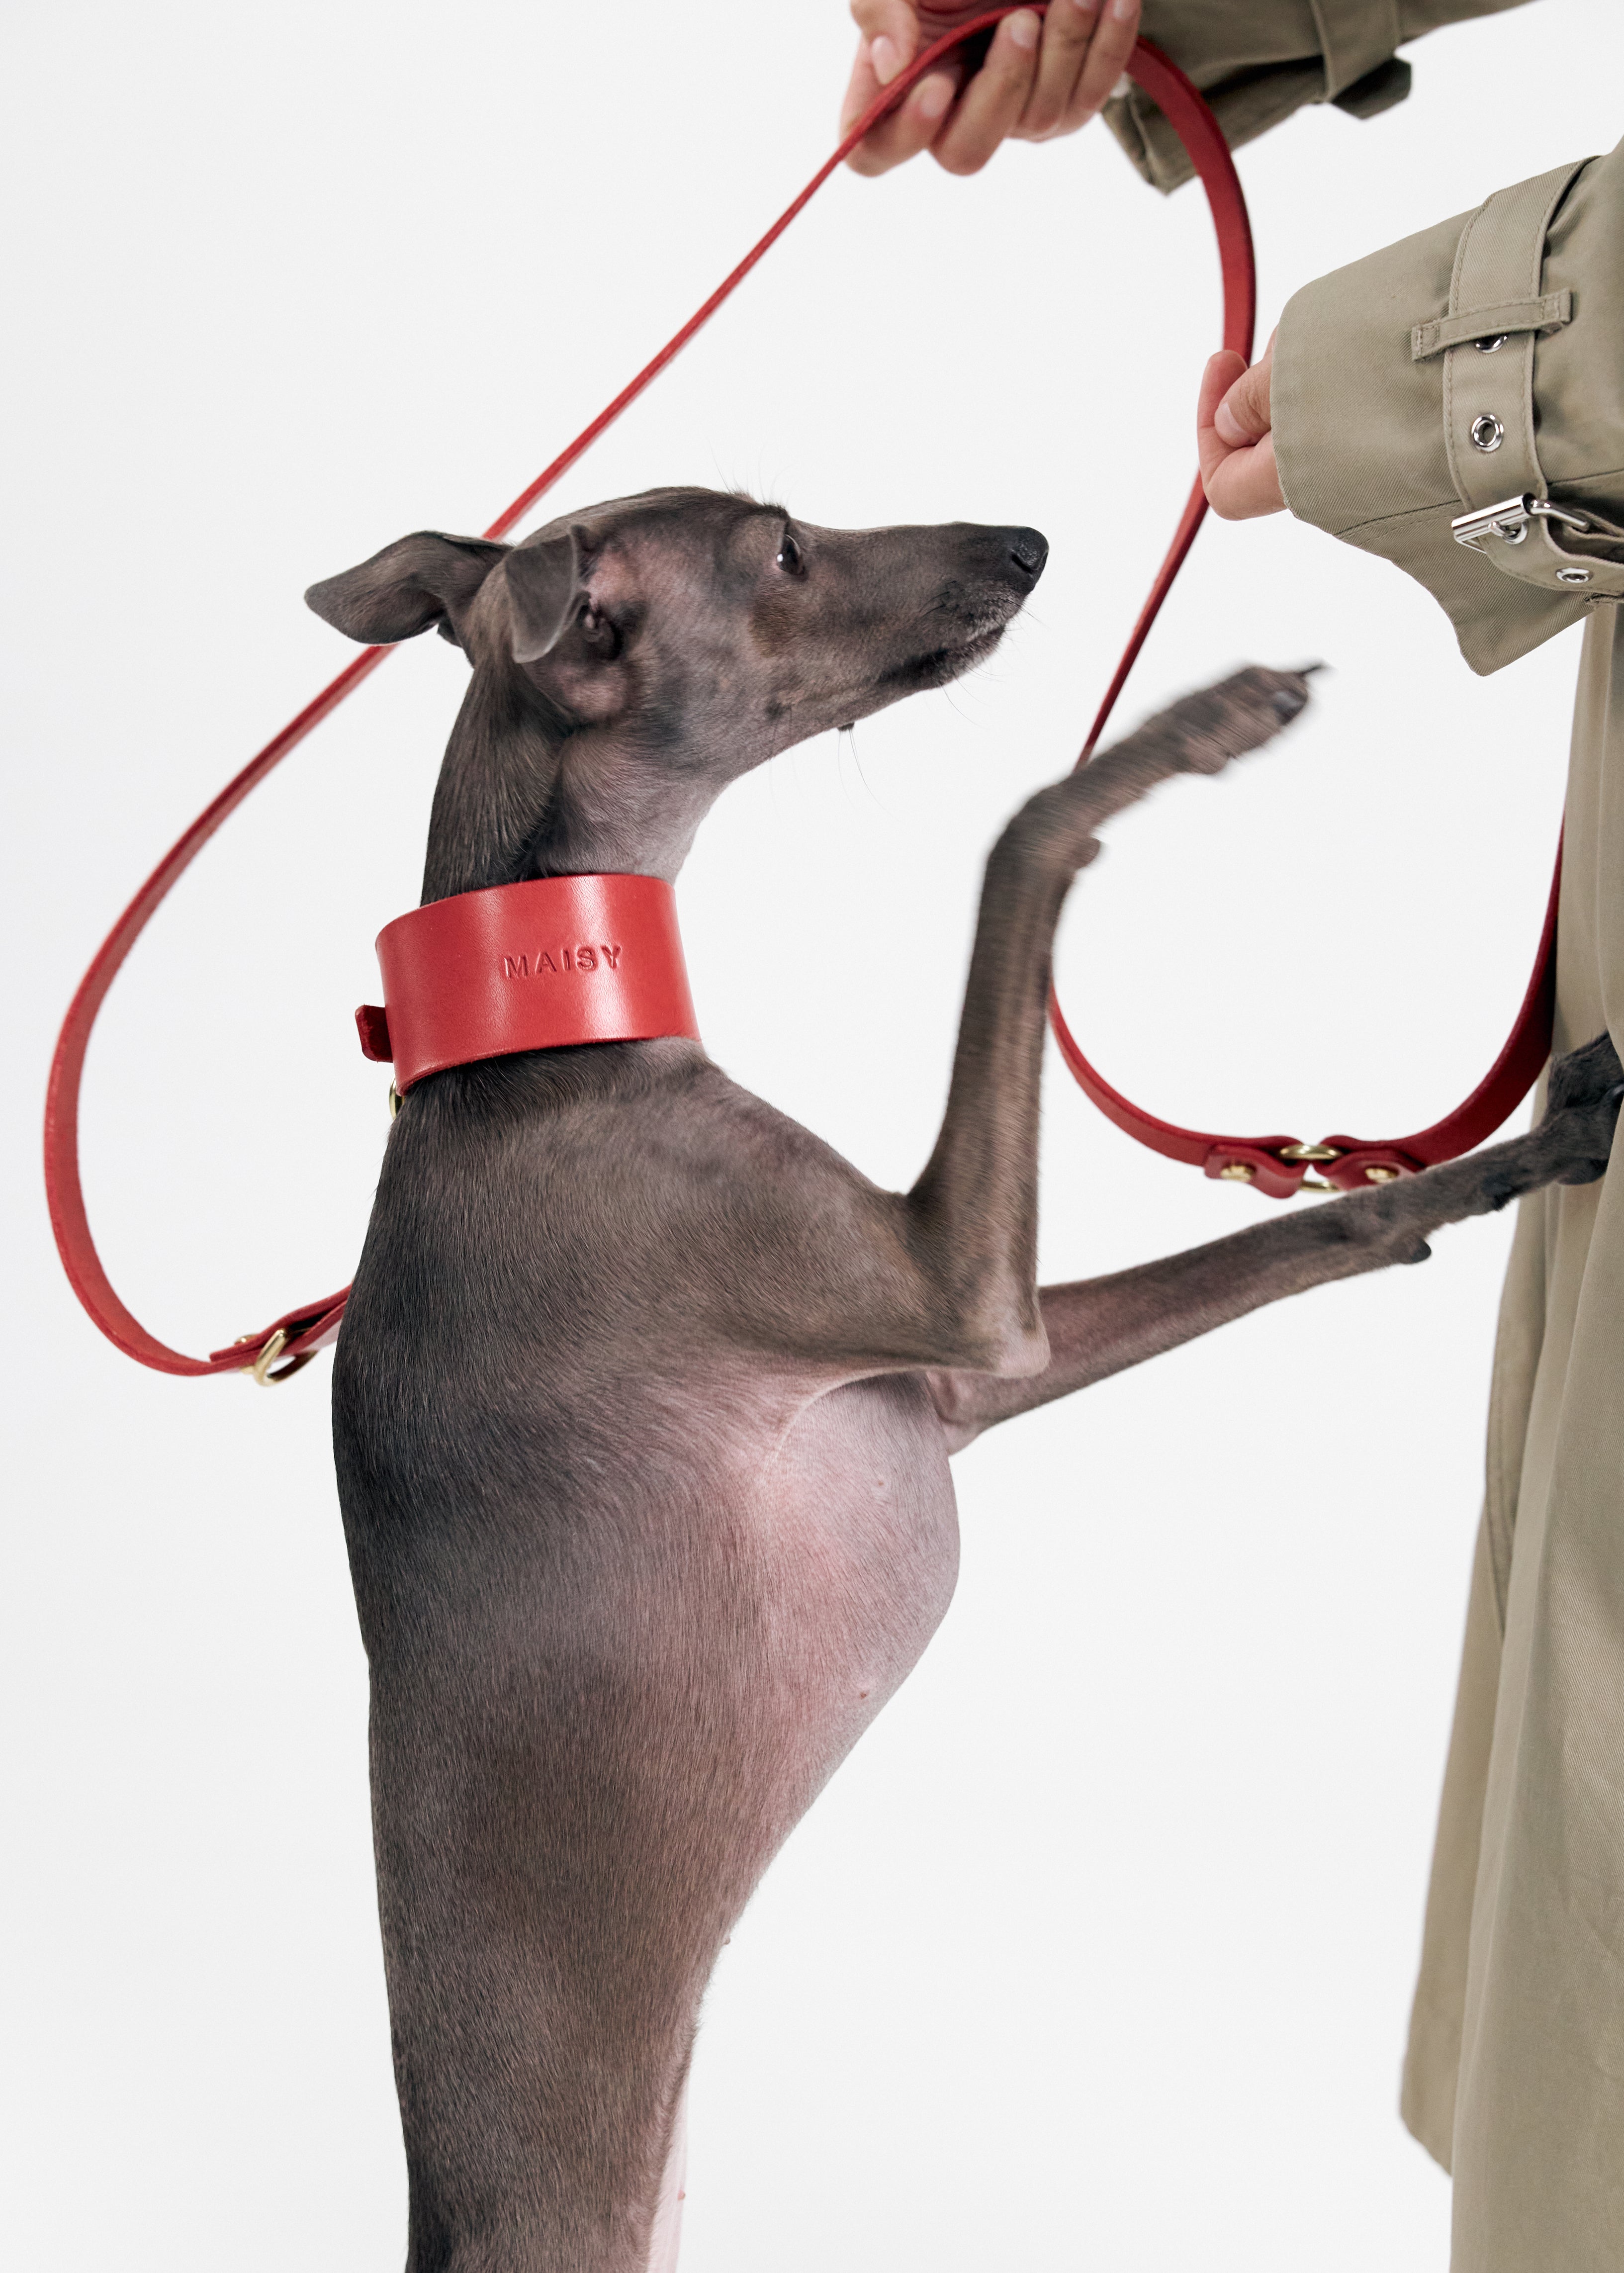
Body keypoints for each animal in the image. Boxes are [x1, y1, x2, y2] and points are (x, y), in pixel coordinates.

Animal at [309, 488, 1624, 2273]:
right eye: (784, 548)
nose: (1022, 543)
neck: (538, 1049)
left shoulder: (956, 1382)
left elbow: (1315, 1229)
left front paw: (1494, 1166)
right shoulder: (956, 1292)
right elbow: (1018, 847)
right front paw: (1191, 727)